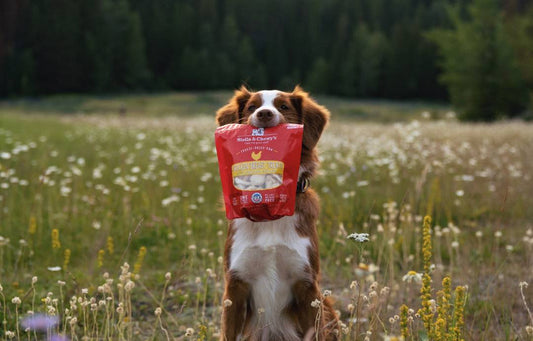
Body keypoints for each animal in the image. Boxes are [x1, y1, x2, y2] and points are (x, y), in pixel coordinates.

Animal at [215, 85, 336, 340]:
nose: (264, 114)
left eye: (283, 106)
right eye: (252, 107)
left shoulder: (307, 286)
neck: (267, 211)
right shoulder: (235, 286)